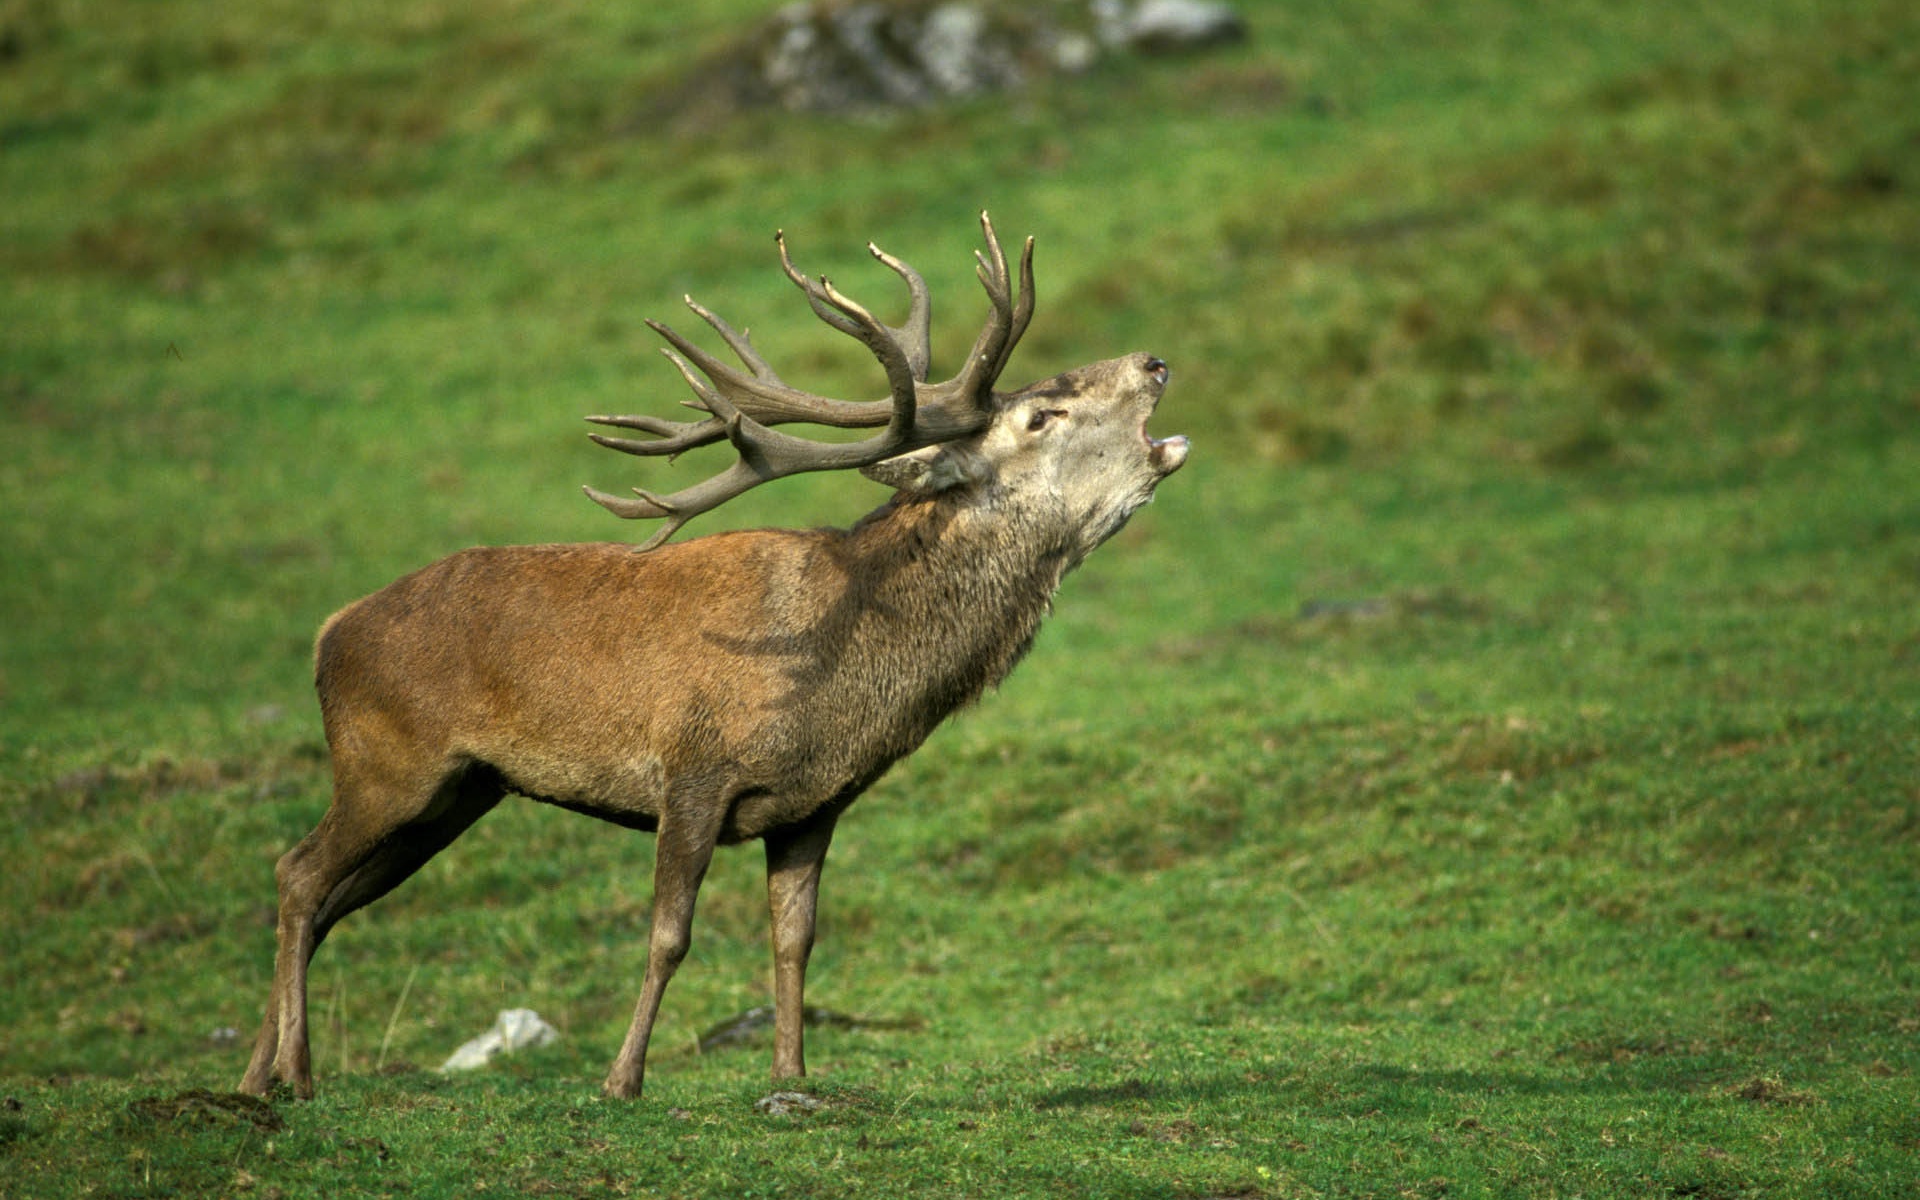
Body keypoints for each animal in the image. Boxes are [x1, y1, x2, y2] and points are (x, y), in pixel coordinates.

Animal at [240, 213, 1182, 1098]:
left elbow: (795, 940)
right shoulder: (692, 769)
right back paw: (297, 1073)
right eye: (1040, 415)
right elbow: (669, 935)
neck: (846, 679)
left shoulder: (814, 805)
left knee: (326, 901)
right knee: (297, 875)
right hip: (387, 762)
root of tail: (329, 633)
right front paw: (623, 1079)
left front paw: (791, 1074)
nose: (1154, 361)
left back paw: (258, 1075)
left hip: (457, 793)